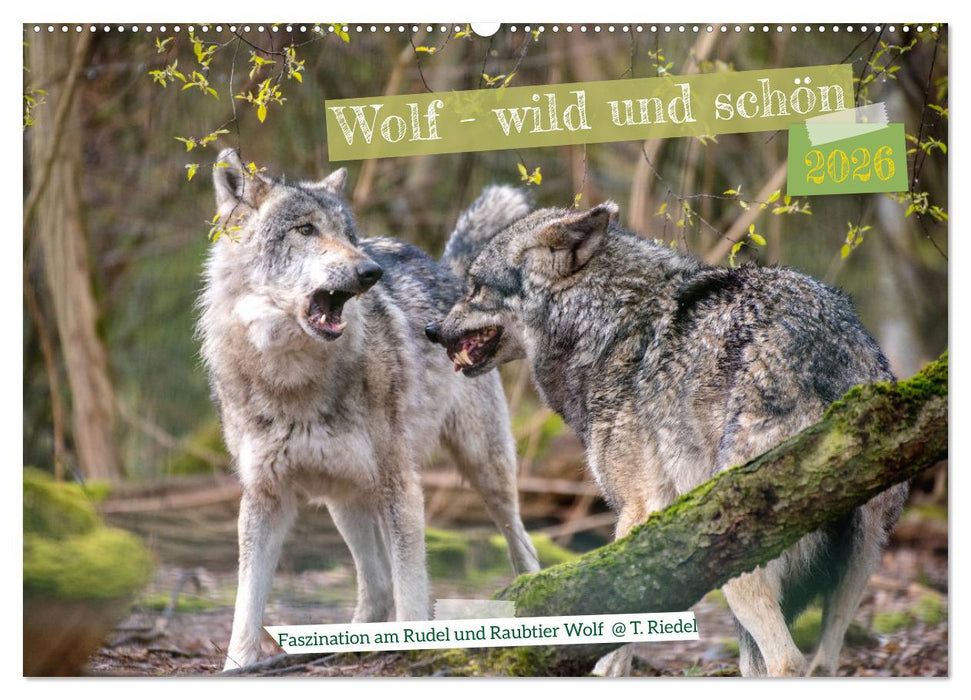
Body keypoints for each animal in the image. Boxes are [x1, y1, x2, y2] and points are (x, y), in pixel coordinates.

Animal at [198, 149, 539, 671]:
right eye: (305, 229)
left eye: (348, 234)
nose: (370, 272)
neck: (293, 380)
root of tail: (447, 270)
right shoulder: (263, 495)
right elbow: (246, 602)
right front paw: (238, 666)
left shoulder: (401, 485)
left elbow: (412, 588)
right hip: (346, 499)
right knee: (375, 587)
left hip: (484, 470)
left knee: (522, 545)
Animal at [426, 201, 908, 676]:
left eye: (474, 287)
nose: (431, 329)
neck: (606, 324)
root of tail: (831, 359)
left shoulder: (638, 513)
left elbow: (615, 645)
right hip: (849, 576)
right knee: (816, 663)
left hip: (740, 570)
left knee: (787, 662)